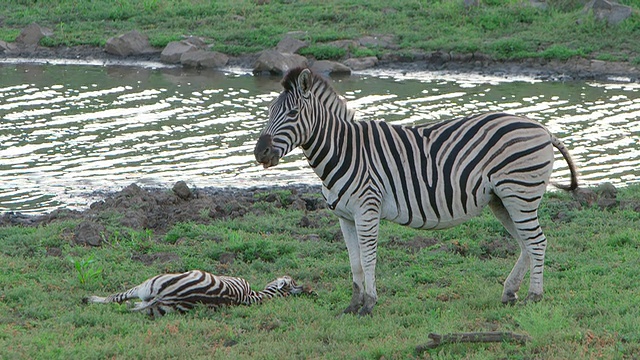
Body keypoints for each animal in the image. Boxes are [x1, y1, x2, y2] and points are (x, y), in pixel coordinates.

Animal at [255, 67, 580, 316]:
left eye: (293, 112)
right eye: (269, 112)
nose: (260, 152)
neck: (344, 150)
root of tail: (542, 129)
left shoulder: (367, 210)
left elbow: (369, 258)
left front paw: (369, 305)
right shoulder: (345, 217)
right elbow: (355, 263)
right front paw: (353, 304)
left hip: (519, 194)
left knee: (537, 242)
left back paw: (534, 296)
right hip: (501, 200)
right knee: (526, 244)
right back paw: (510, 292)